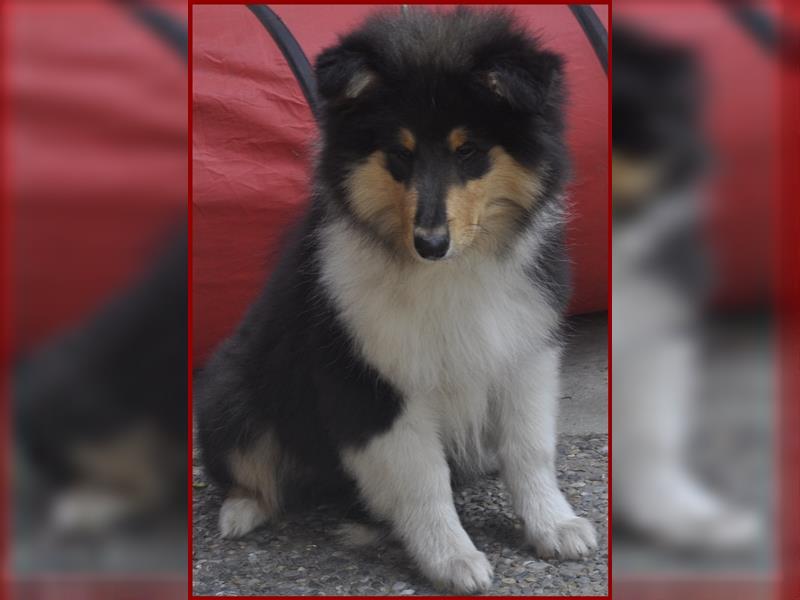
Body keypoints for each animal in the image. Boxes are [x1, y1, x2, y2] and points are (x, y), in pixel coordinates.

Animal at [197, 7, 596, 592]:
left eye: (468, 151)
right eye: (399, 154)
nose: (430, 243)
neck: (449, 273)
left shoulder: (522, 349)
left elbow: (530, 449)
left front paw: (556, 526)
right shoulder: (374, 381)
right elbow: (423, 478)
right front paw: (453, 559)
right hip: (230, 390)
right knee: (245, 466)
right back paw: (242, 512)